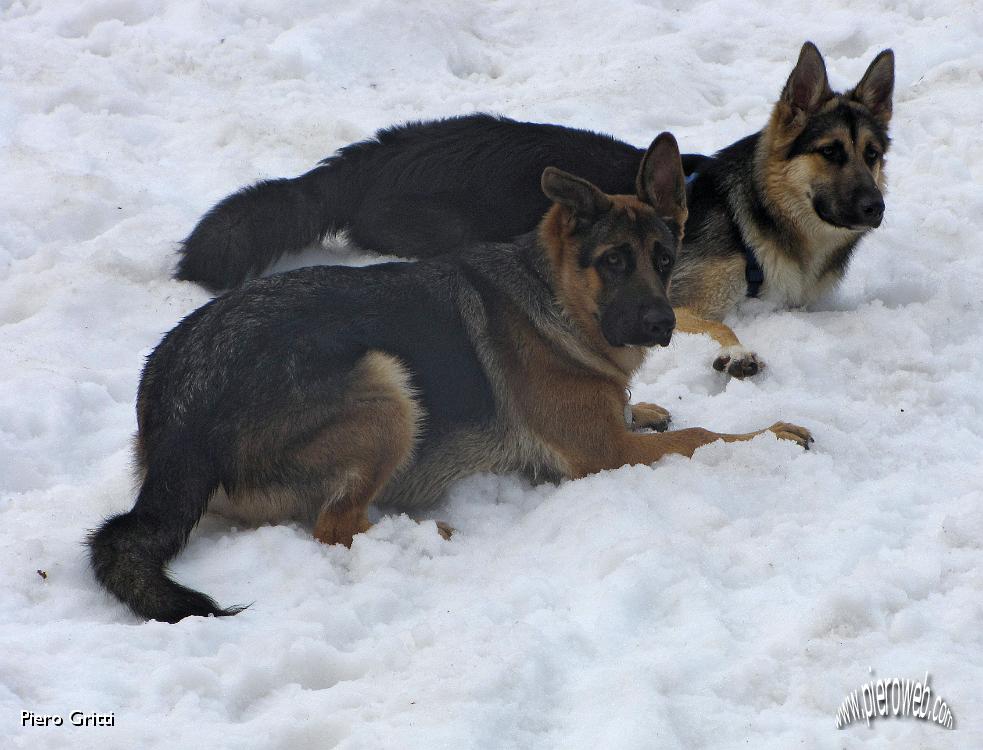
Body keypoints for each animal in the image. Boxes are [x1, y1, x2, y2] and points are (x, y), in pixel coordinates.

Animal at [90, 135, 816, 624]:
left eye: (665, 259)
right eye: (612, 261)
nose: (662, 323)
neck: (557, 300)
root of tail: (178, 414)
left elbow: (658, 419)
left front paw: (646, 404)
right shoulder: (607, 456)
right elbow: (705, 436)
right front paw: (774, 434)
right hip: (387, 384)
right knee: (333, 524)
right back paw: (422, 535)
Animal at [175, 44, 892, 378]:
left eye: (873, 154)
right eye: (830, 152)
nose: (874, 207)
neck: (760, 219)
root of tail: (376, 154)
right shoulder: (679, 295)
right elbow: (718, 325)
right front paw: (736, 356)